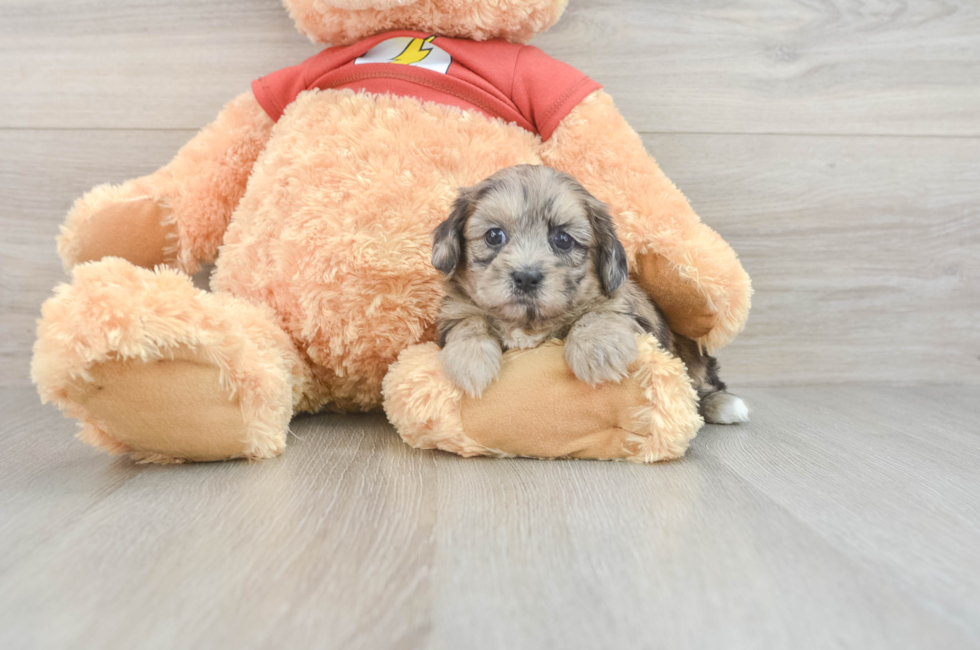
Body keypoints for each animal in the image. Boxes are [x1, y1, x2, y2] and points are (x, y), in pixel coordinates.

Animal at [432, 165, 748, 422]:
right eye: (494, 236)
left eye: (562, 239)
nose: (526, 277)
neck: (529, 323)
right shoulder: (455, 311)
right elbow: (468, 321)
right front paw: (471, 360)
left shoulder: (631, 310)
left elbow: (600, 312)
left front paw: (598, 351)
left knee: (701, 385)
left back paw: (724, 405)